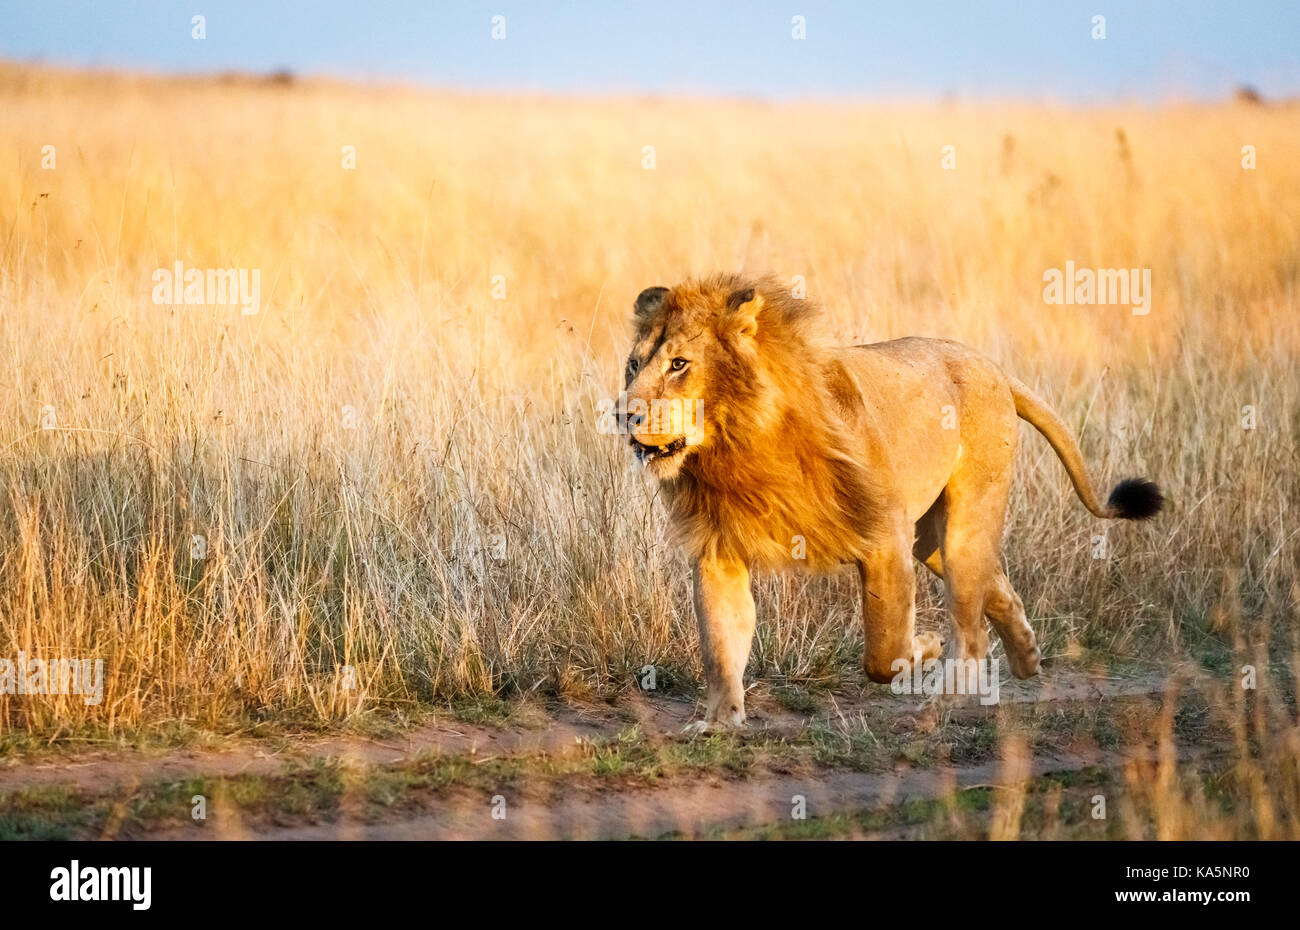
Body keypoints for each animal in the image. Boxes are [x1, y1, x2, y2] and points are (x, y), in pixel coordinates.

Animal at [621, 273, 1170, 733]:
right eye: (633, 364)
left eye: (678, 364)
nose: (622, 413)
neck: (737, 446)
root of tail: (988, 363)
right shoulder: (719, 550)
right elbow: (720, 643)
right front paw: (718, 722)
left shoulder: (884, 538)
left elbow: (883, 655)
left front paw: (922, 646)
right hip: (930, 538)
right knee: (993, 586)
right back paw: (1028, 655)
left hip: (963, 521)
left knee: (969, 631)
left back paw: (940, 705)